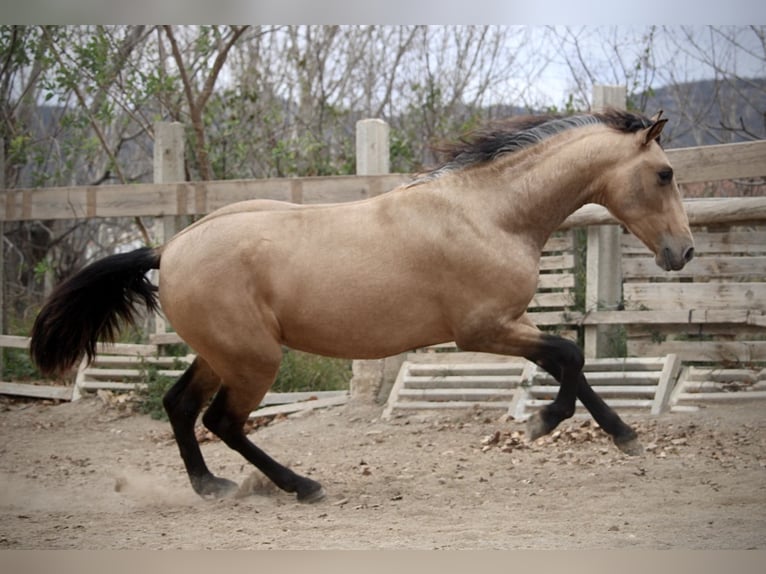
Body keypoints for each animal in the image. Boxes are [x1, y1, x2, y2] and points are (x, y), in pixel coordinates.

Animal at [31, 108, 696, 504]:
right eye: (664, 174)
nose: (683, 252)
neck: (489, 213)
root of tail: (168, 250)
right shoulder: (483, 330)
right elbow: (568, 358)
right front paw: (549, 425)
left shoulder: (510, 324)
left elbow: (569, 363)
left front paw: (616, 434)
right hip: (253, 359)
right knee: (222, 421)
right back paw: (302, 486)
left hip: (222, 355)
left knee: (179, 406)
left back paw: (211, 486)